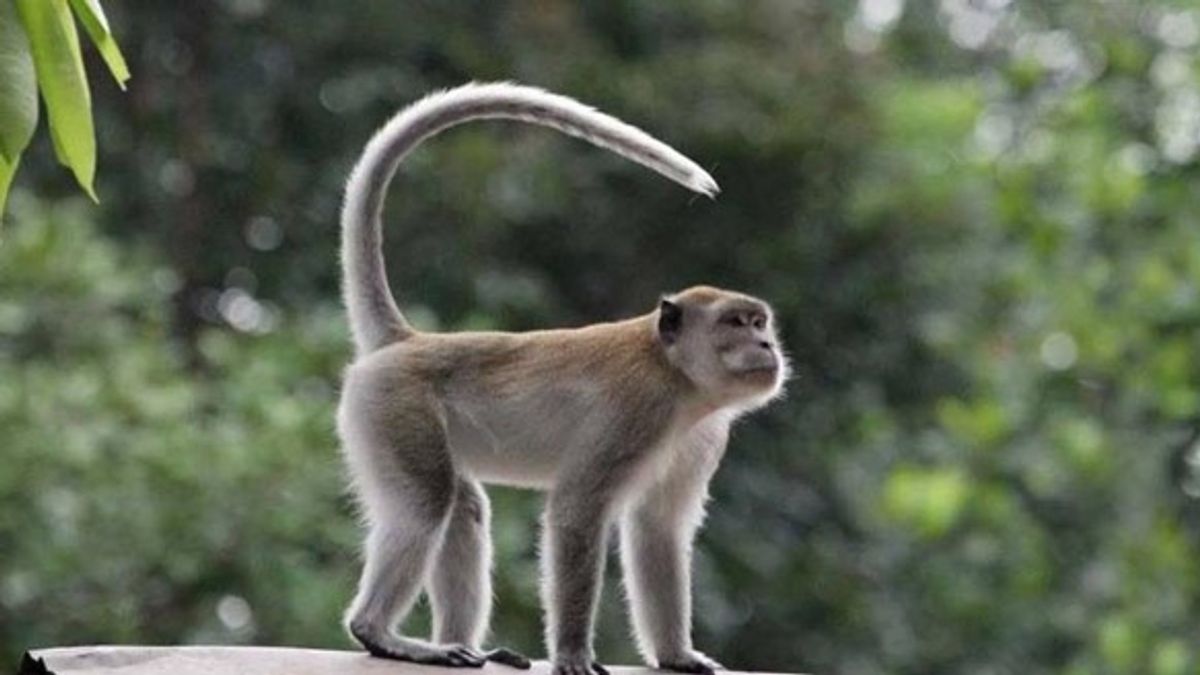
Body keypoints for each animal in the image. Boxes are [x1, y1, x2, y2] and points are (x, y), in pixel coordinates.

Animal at [338, 82, 787, 672]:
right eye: (736, 324)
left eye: (759, 322)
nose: (766, 345)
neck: (676, 379)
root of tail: (407, 342)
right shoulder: (635, 410)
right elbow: (576, 512)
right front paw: (573, 653)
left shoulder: (704, 436)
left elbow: (658, 530)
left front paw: (676, 655)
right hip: (394, 407)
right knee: (427, 502)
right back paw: (379, 632)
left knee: (461, 508)